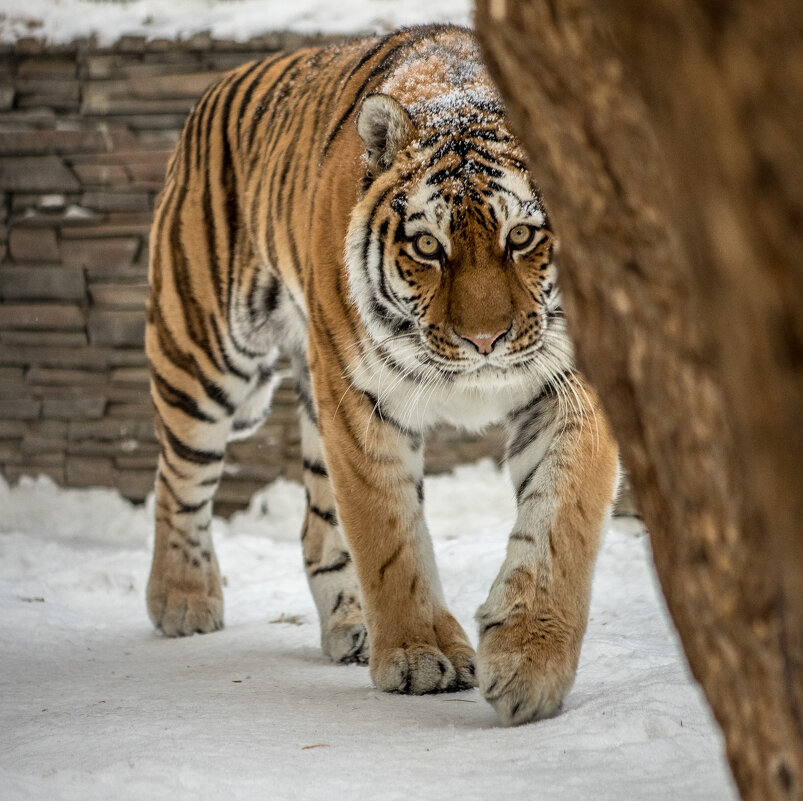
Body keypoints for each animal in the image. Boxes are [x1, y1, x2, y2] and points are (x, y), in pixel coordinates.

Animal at [146, 23, 620, 724]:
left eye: (522, 236)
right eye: (427, 246)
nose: (485, 341)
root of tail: (215, 88)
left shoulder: (573, 385)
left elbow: (561, 517)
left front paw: (528, 664)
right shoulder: (358, 399)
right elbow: (389, 533)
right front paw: (420, 656)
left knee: (314, 524)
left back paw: (351, 626)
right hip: (204, 354)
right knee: (178, 479)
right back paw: (182, 600)